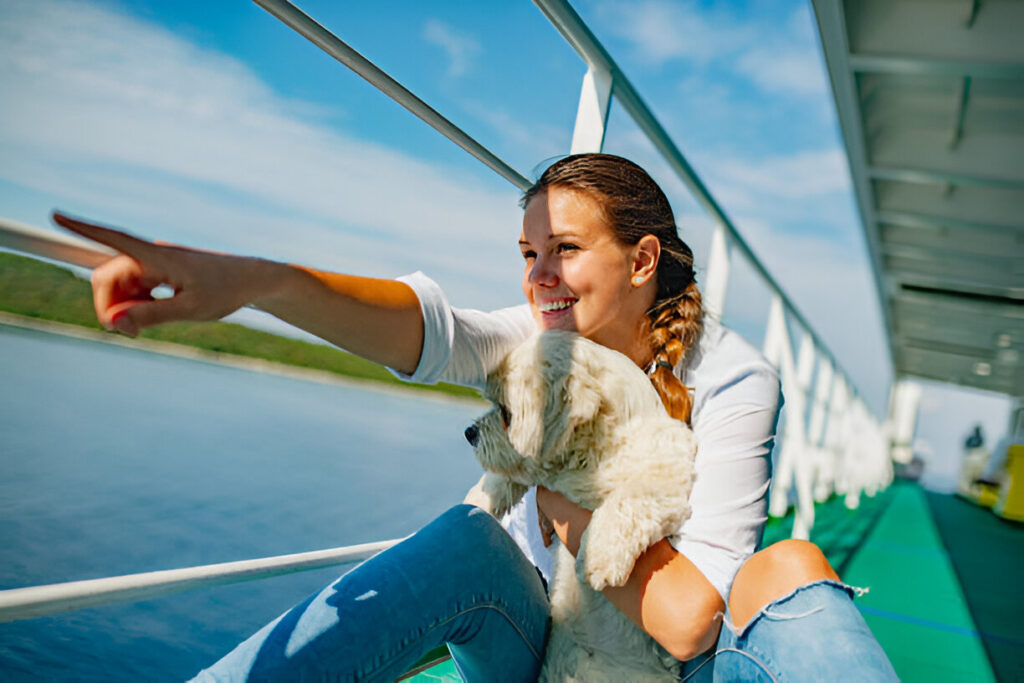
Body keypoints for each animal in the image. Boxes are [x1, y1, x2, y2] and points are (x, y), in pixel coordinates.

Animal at [464, 329, 696, 679]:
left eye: (506, 413)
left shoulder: (667, 474)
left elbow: (626, 501)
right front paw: (479, 499)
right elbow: (509, 475)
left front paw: (597, 559)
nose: (470, 432)